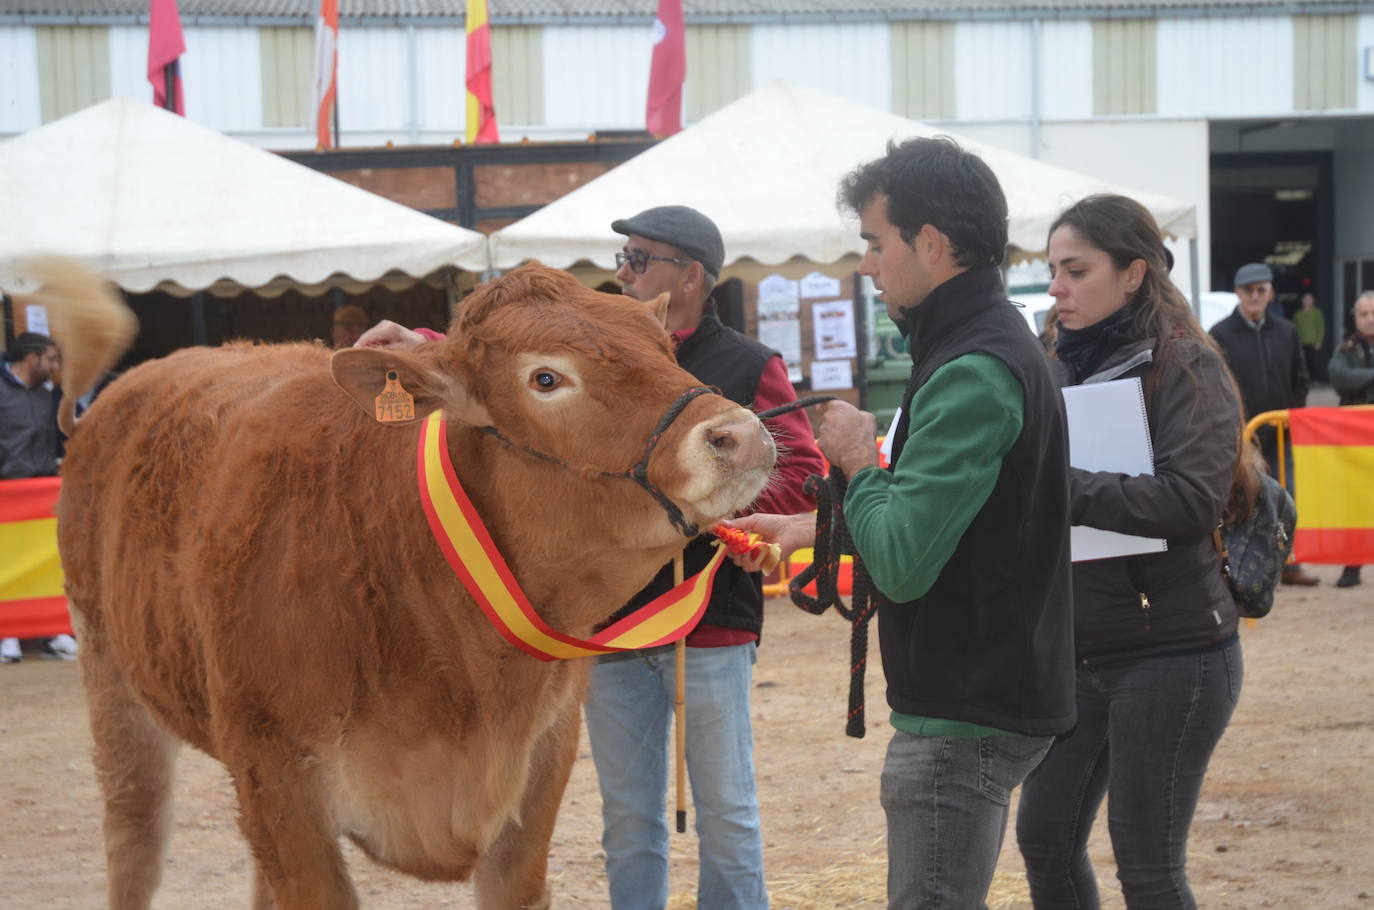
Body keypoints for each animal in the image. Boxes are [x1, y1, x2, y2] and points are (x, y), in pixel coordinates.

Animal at [40, 259, 774, 910]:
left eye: (665, 347)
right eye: (545, 377)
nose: (741, 434)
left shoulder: (542, 765)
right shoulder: (276, 775)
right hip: (113, 681)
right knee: (134, 840)